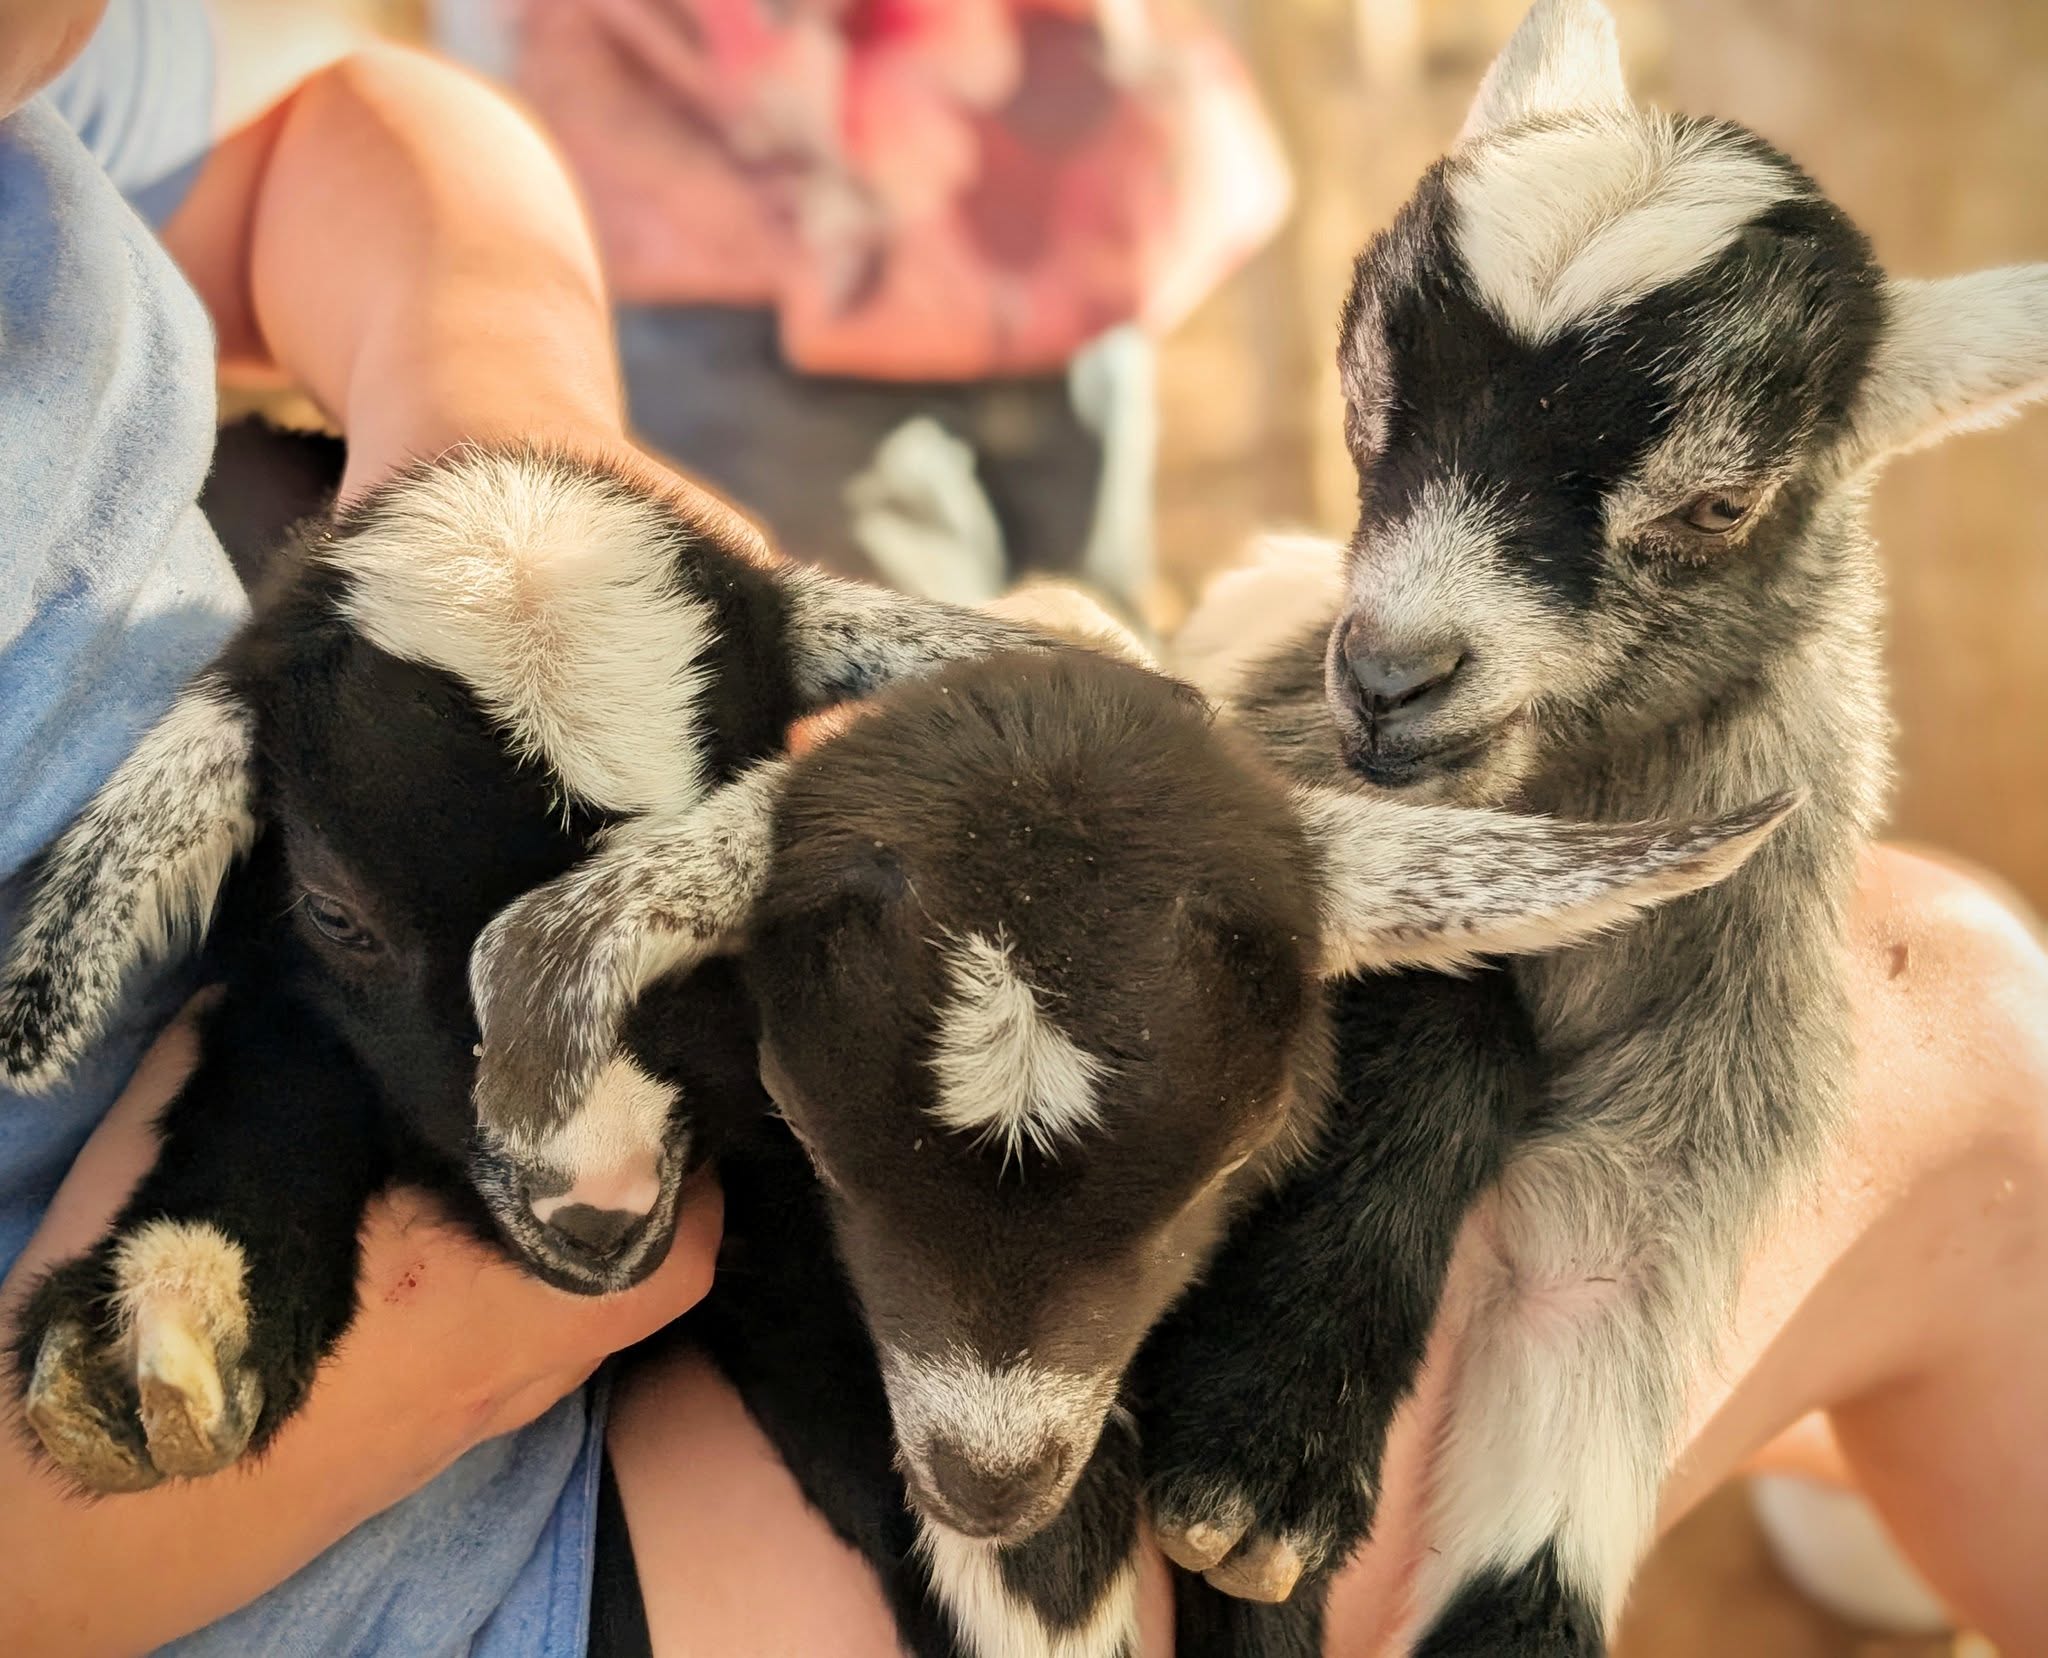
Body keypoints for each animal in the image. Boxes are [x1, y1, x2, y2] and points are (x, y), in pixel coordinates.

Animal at [1130, 2, 2048, 1650]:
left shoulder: (1690, 1123)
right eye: (1368, 388)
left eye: (1719, 503)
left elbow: (1575, 1377)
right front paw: (1266, 1464)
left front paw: (1266, 1461)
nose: (1388, 675)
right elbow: (1442, 1014)